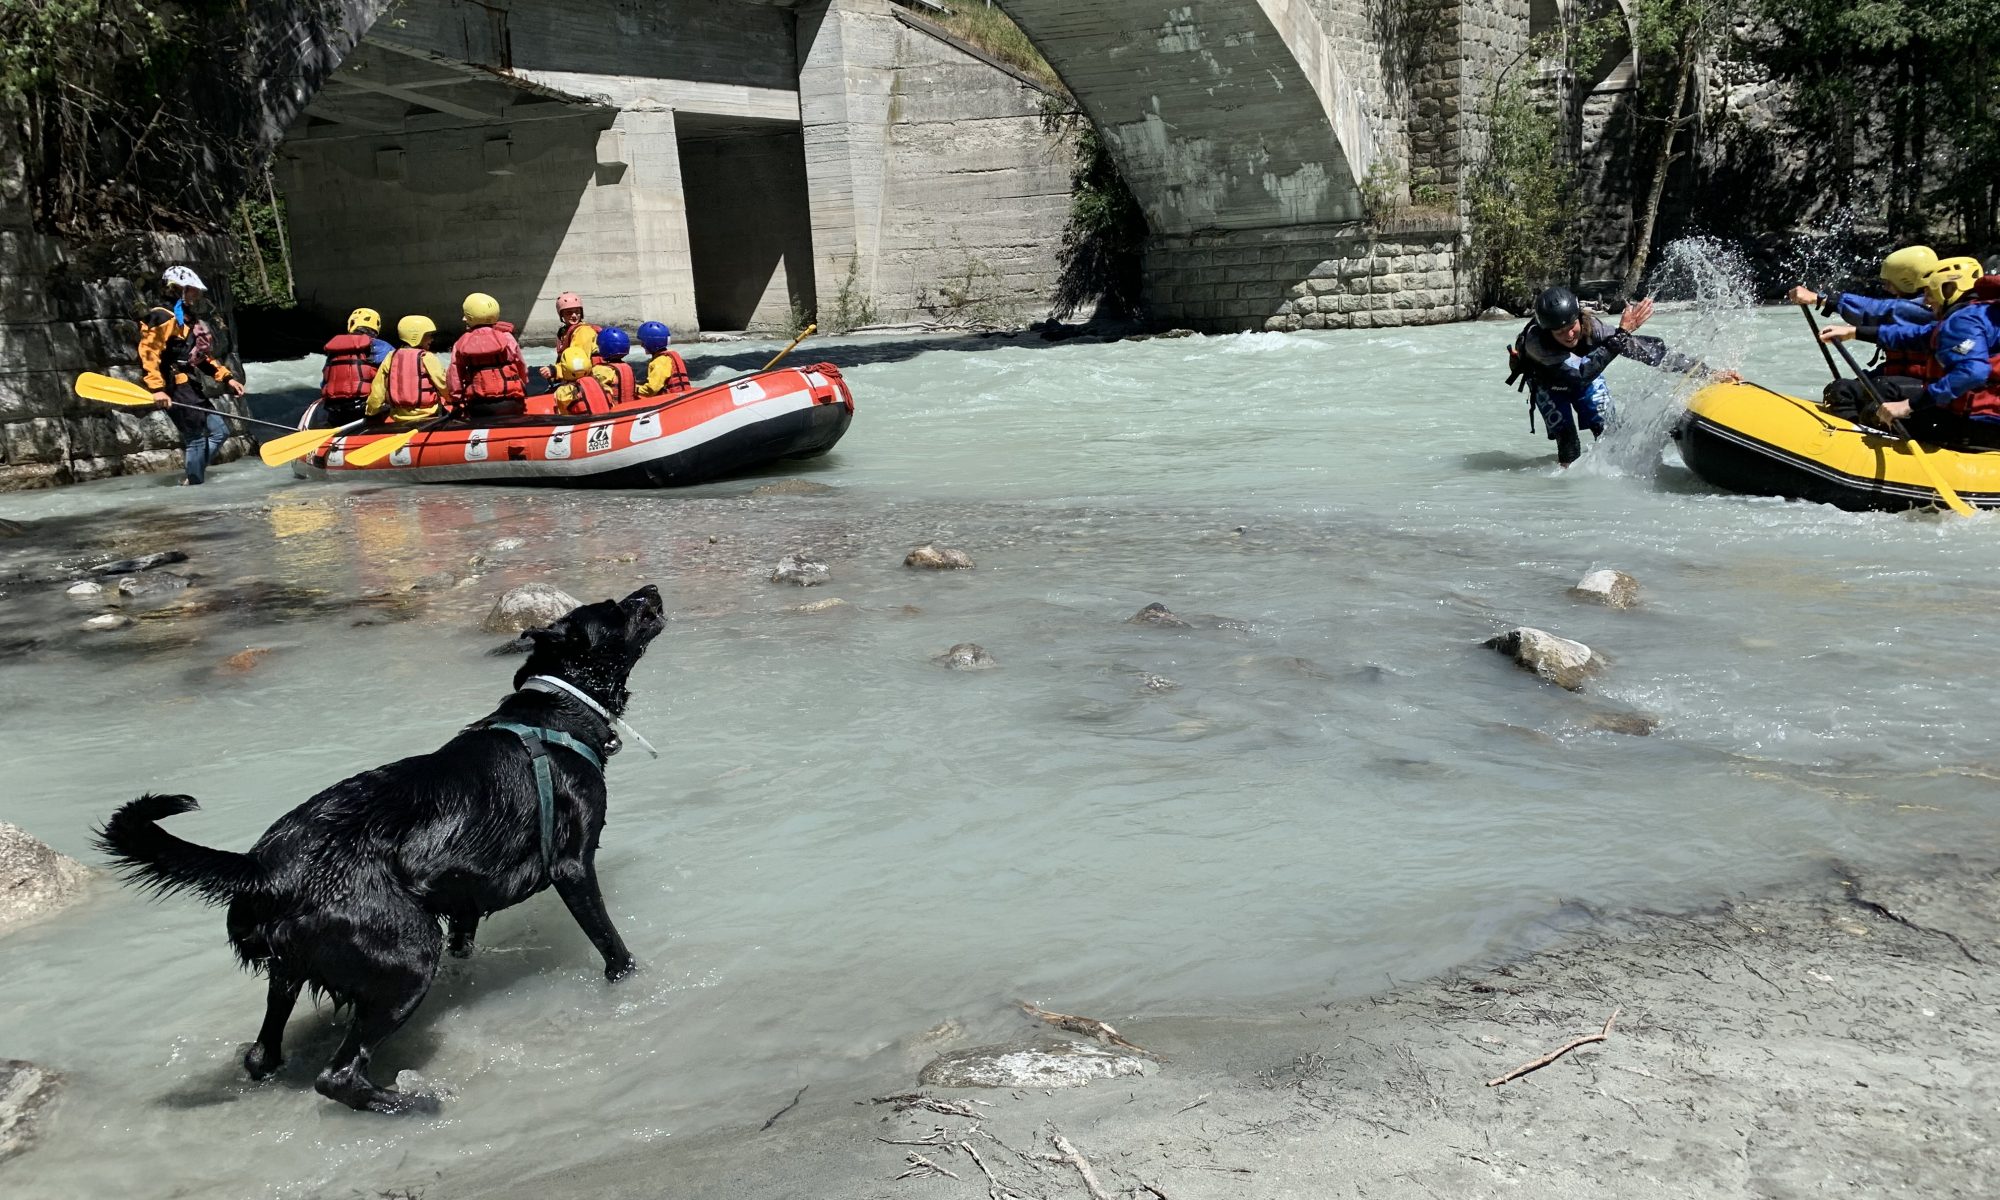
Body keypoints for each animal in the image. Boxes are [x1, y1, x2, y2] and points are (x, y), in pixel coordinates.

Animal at [97, 584, 664, 1112]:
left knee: (262, 1054)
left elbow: (466, 943)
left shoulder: (463, 898)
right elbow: (611, 945)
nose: (652, 590)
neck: (557, 710)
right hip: (407, 956)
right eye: (615, 608)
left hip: (289, 969)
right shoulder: (572, 867)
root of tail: (265, 867)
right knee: (337, 1077)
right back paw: (413, 1102)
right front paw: (630, 979)